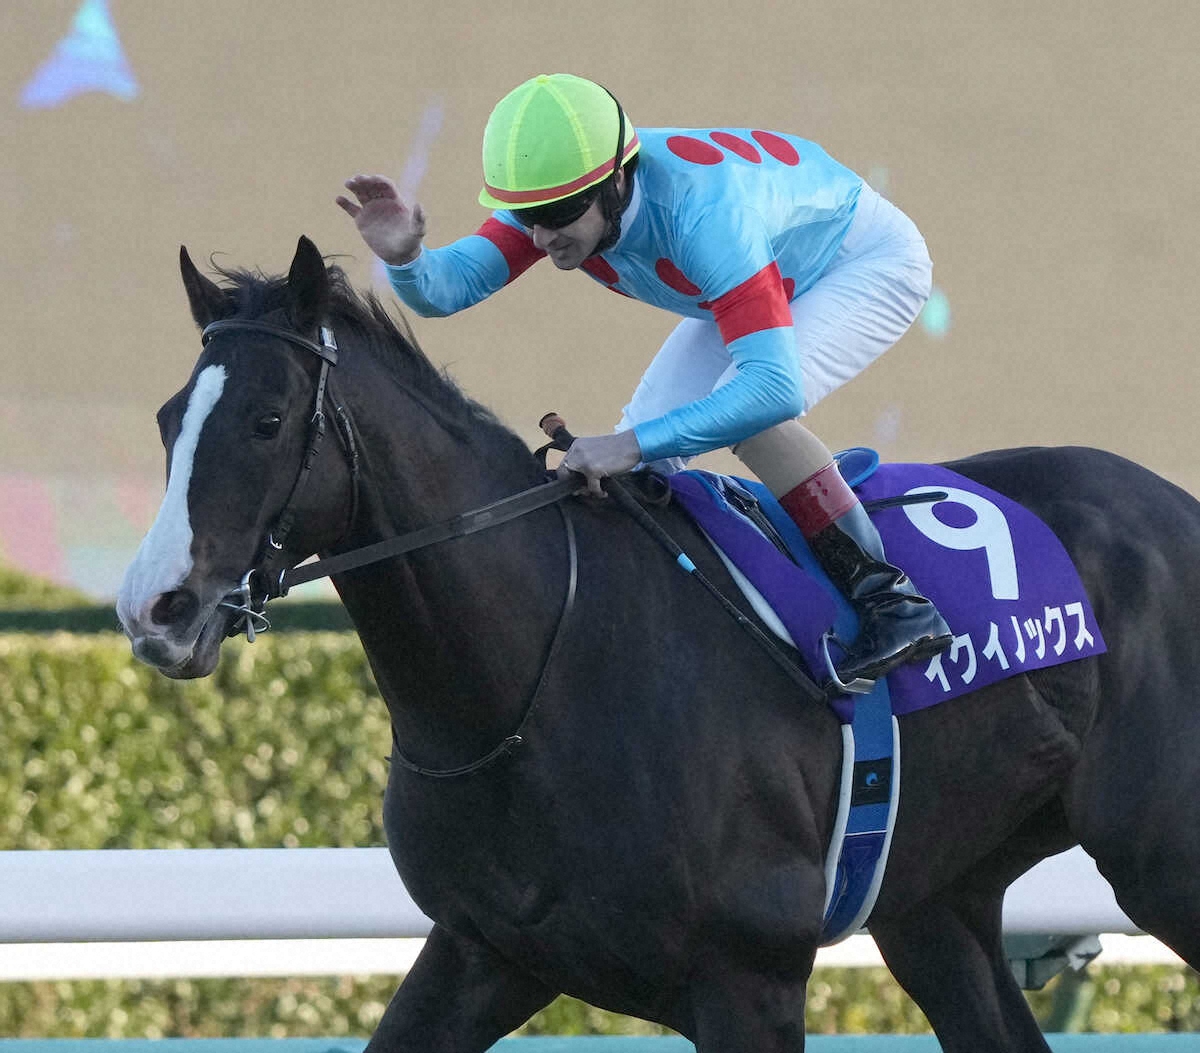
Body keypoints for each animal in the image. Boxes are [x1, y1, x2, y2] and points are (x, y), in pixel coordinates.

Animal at [117, 236, 1200, 1051]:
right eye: (169, 419)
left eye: (266, 419)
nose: (154, 607)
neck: (532, 683)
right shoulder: (485, 949)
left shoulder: (750, 978)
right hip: (937, 900)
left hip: (1163, 855)